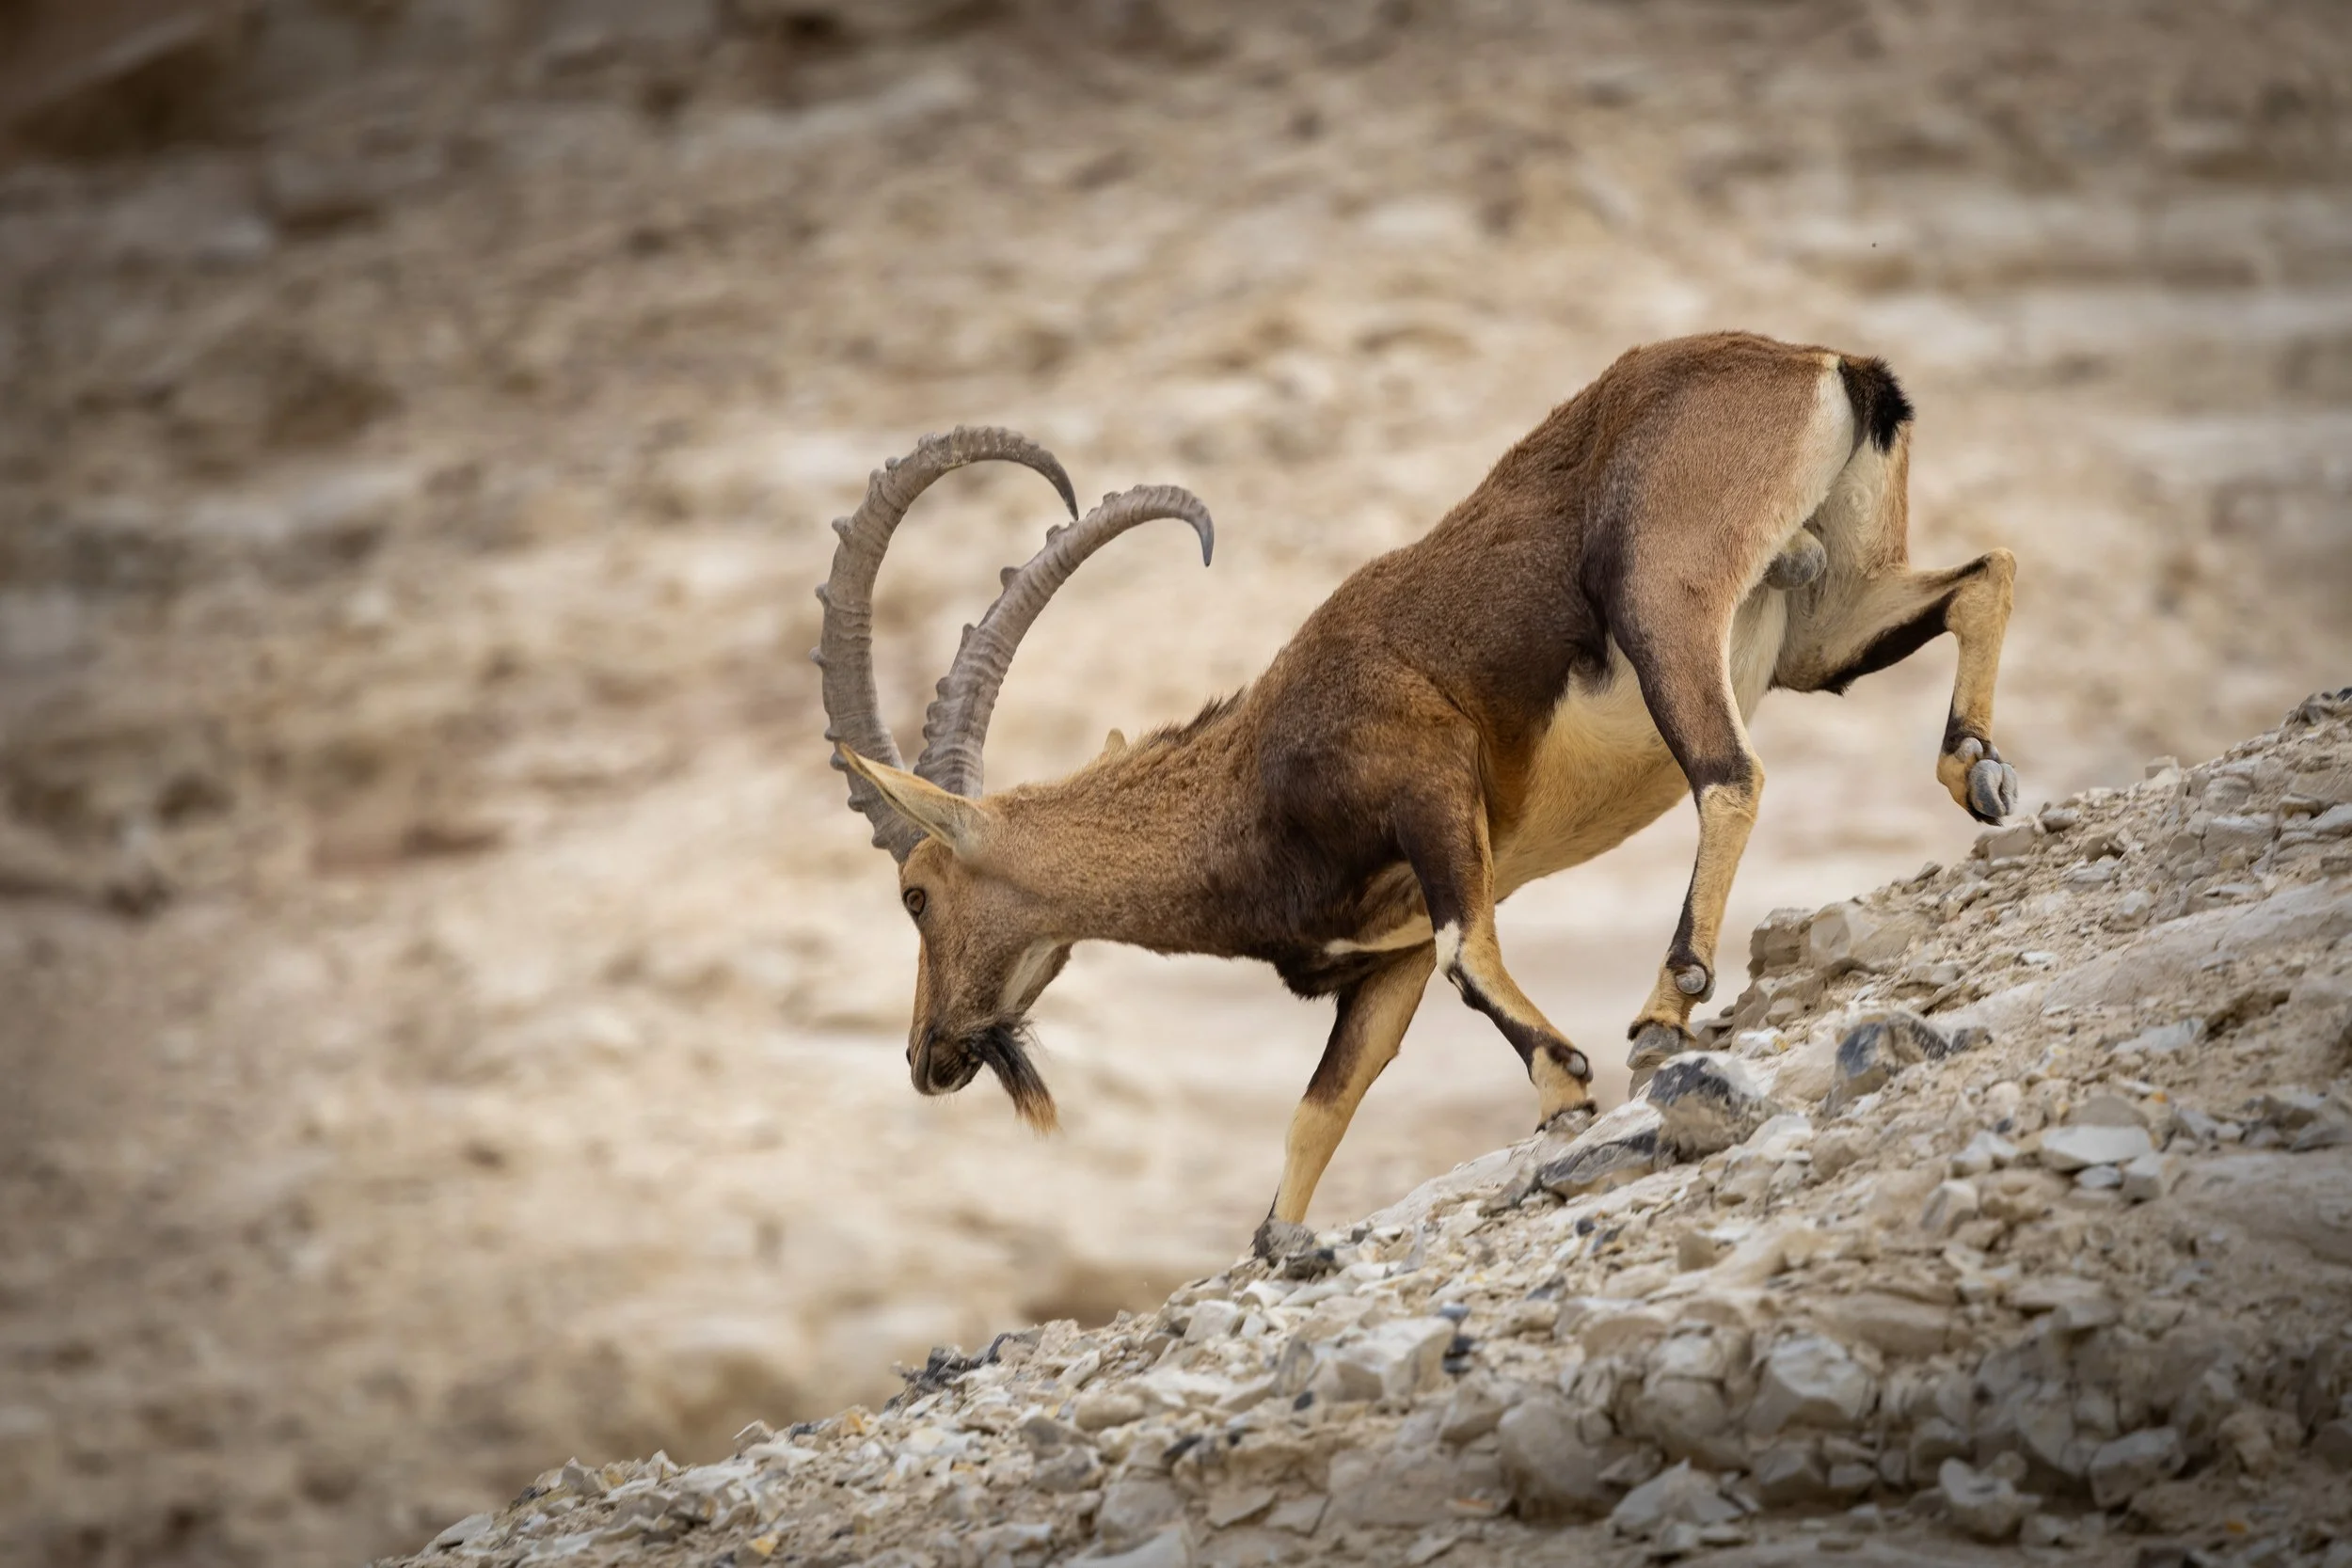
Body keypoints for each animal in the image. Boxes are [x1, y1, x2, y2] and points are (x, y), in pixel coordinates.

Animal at [814, 330, 2017, 1259]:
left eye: (916, 894)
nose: (927, 1057)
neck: (1246, 786)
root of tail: (1826, 366)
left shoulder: (1423, 780)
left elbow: (1467, 952)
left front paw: (1566, 1084)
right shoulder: (1376, 961)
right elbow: (1321, 1107)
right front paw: (1280, 1243)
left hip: (1662, 598)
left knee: (1729, 775)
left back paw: (1664, 1004)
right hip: (1827, 618)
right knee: (1980, 577)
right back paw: (1978, 770)